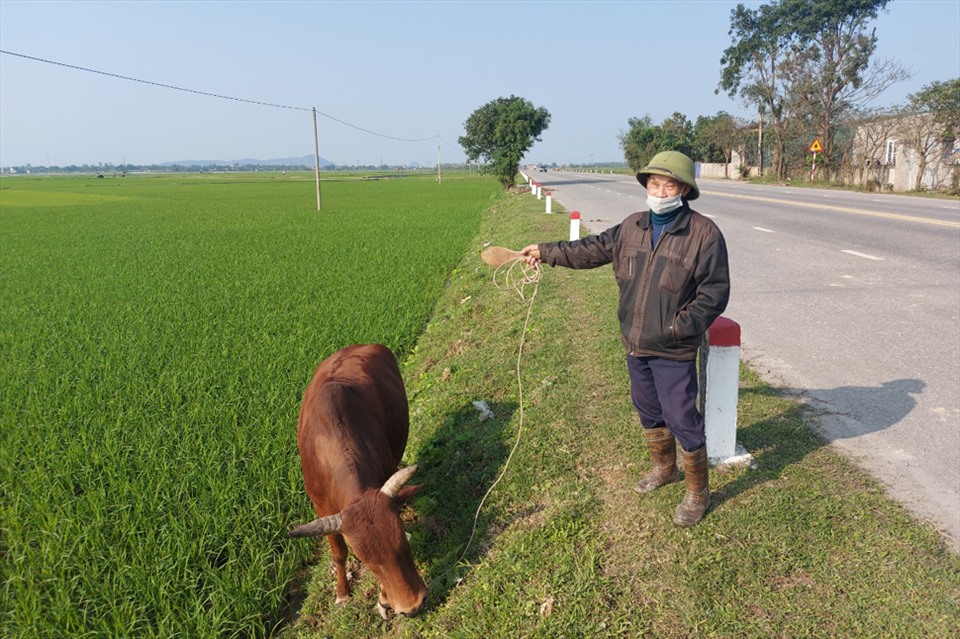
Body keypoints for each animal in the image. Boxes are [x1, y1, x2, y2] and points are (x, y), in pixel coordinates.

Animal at [286, 344, 426, 620]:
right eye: (369, 563)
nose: (413, 606)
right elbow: (339, 554)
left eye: (402, 542)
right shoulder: (321, 509)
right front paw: (342, 594)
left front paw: (383, 600)